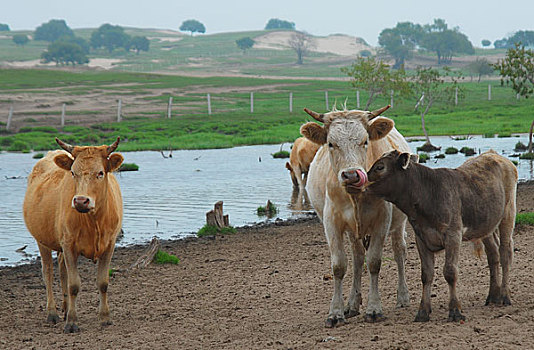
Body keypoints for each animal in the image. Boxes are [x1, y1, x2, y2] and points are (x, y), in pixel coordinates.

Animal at [23, 137, 124, 334]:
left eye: (100, 173)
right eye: (72, 173)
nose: (80, 201)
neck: (94, 221)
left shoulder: (109, 245)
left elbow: (103, 282)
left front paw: (105, 318)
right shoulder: (69, 246)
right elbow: (74, 285)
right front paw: (71, 322)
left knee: (62, 271)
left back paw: (64, 307)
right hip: (42, 241)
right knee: (48, 272)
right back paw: (53, 313)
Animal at [302, 105, 414, 326]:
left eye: (365, 141)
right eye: (331, 143)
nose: (352, 175)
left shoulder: (382, 220)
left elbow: (374, 263)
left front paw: (374, 309)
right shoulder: (331, 222)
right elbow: (339, 266)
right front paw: (336, 313)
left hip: (399, 223)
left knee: (399, 251)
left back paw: (403, 297)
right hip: (353, 231)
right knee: (357, 258)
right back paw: (352, 304)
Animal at [368, 149, 520, 322]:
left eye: (380, 167)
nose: (364, 177)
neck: (428, 193)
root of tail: (493, 154)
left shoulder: (453, 235)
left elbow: (450, 272)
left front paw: (455, 310)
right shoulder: (421, 238)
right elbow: (426, 274)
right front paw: (423, 311)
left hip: (508, 214)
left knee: (505, 253)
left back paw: (504, 295)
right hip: (486, 223)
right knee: (493, 254)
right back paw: (493, 296)